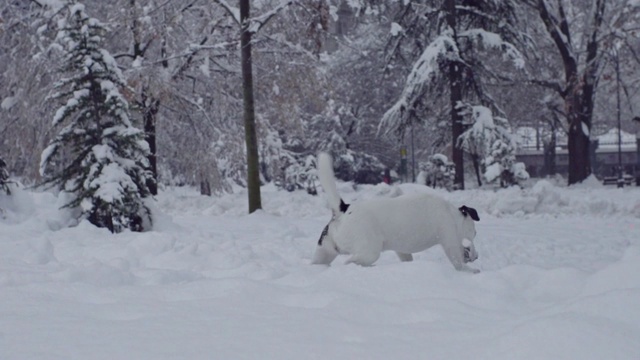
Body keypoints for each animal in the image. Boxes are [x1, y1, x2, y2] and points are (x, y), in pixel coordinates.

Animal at [310, 152, 480, 272]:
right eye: (475, 233)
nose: (477, 256)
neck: (453, 215)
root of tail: (344, 209)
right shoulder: (450, 240)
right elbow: (459, 263)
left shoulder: (402, 251)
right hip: (369, 252)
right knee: (350, 262)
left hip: (324, 253)